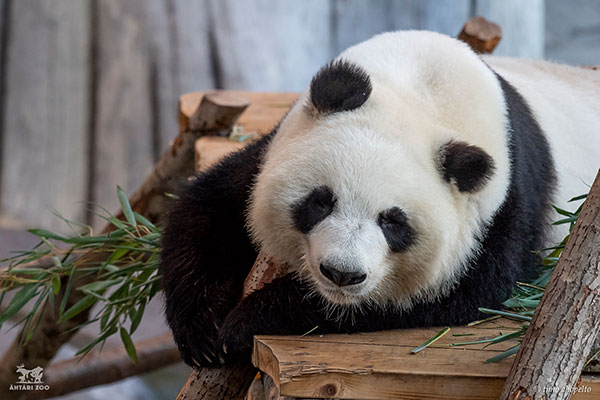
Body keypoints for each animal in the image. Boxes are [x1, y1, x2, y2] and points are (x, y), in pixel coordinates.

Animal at [162, 32, 600, 368]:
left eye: (393, 222)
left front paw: (245, 323)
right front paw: (201, 333)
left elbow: (462, 292)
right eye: (321, 201)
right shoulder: (274, 147)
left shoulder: (502, 205)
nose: (342, 274)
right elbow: (206, 211)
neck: (426, 88)